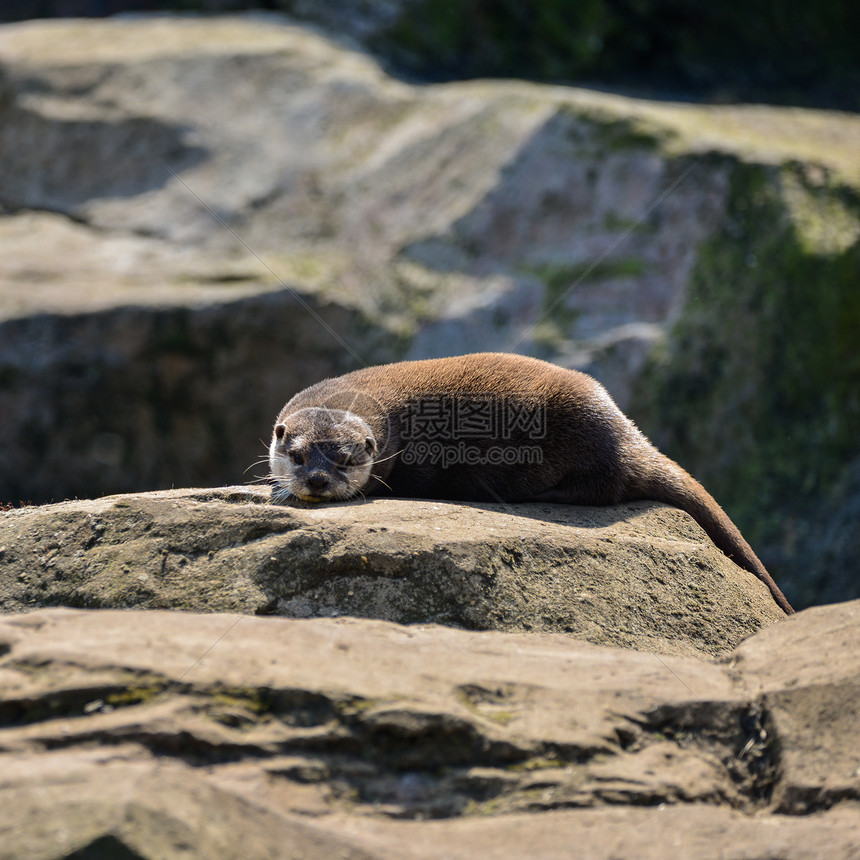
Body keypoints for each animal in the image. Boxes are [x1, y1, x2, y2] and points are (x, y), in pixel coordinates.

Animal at [268, 352, 792, 616]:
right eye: (297, 455)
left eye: (345, 459)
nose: (316, 480)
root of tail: (625, 429)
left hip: (583, 431)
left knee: (604, 487)